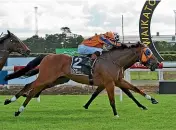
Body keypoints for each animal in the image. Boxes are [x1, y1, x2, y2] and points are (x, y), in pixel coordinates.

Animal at [4, 41, 160, 117]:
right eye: (148, 52)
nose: (156, 63)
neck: (113, 61)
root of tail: (47, 56)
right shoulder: (109, 82)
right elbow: (112, 99)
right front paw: (116, 114)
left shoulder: (117, 81)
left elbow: (135, 89)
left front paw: (151, 100)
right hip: (46, 78)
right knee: (31, 90)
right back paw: (18, 109)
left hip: (55, 80)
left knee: (30, 87)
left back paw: (11, 102)